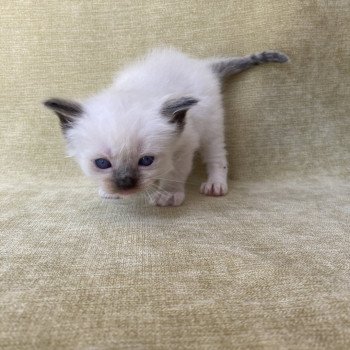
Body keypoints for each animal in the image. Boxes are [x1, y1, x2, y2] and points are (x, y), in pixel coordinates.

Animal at [44, 46, 288, 205]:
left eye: (146, 161)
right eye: (102, 163)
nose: (124, 183)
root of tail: (201, 65)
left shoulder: (185, 144)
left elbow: (176, 172)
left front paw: (168, 194)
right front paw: (109, 191)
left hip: (211, 125)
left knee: (217, 157)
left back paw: (215, 184)